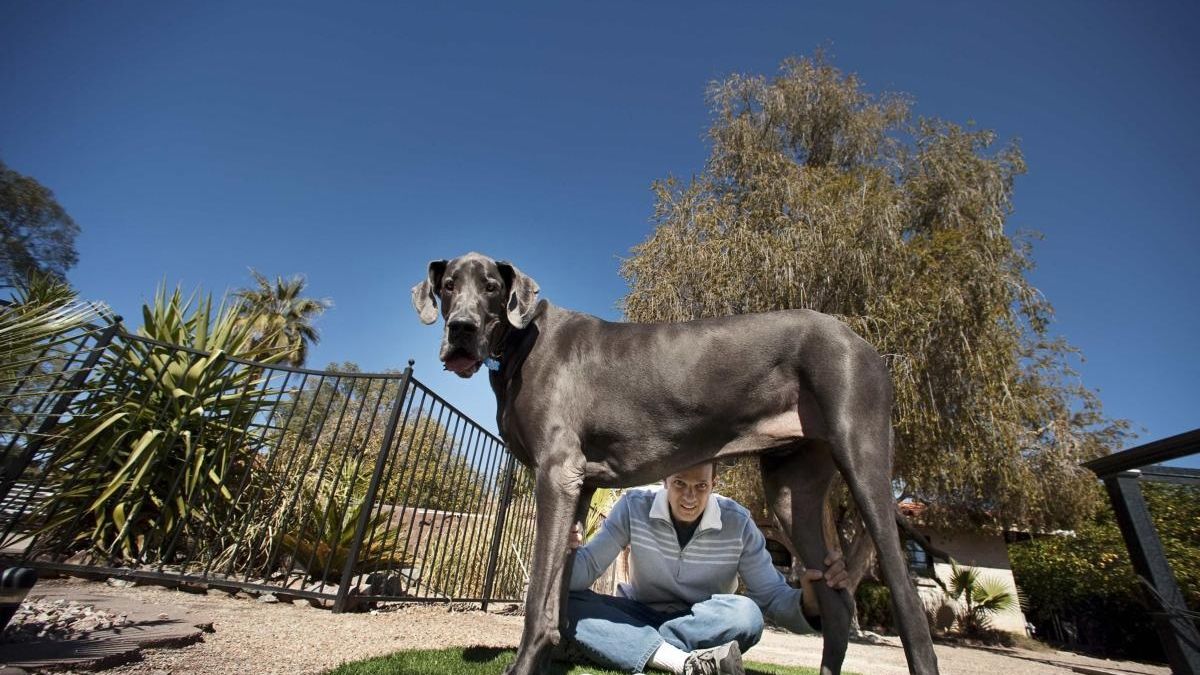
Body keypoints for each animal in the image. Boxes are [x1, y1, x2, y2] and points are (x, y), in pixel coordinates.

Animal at [412, 252, 936, 672]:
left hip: (863, 457)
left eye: (492, 287)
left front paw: (524, 664)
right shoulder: (578, 487)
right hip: (792, 491)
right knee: (836, 602)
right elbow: (559, 593)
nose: (461, 330)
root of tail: (862, 341)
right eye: (448, 285)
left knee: (910, 609)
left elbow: (538, 596)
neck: (522, 344)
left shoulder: (557, 474)